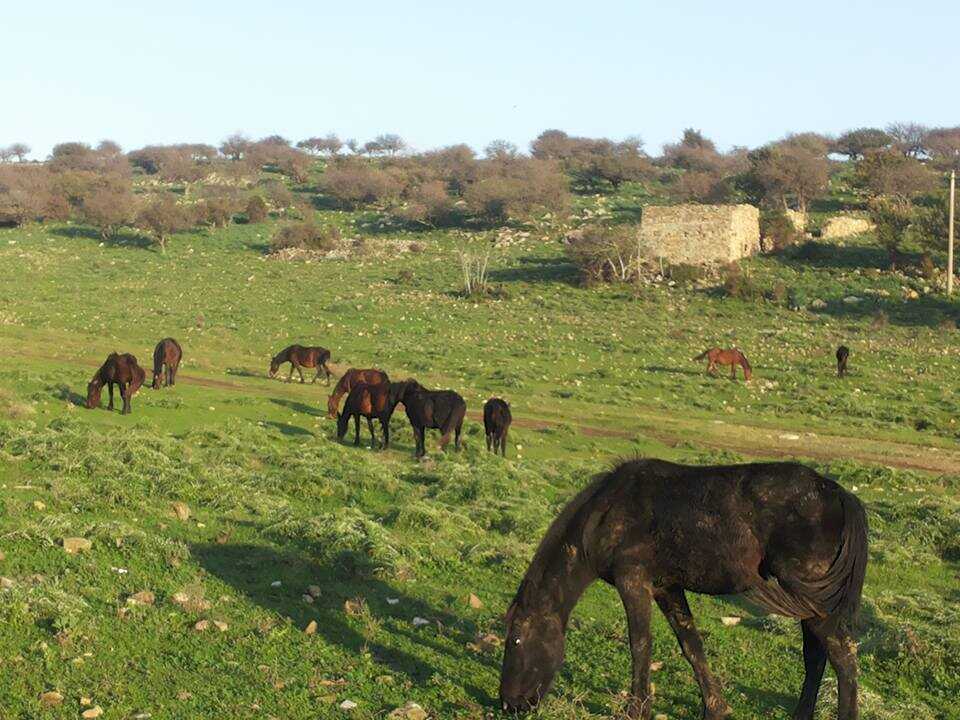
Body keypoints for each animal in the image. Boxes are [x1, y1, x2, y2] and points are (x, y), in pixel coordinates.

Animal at [500, 459, 868, 720]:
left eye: (515, 640)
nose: (508, 704)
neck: (605, 514)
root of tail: (838, 493)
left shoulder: (633, 582)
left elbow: (640, 646)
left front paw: (636, 711)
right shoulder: (667, 588)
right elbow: (691, 645)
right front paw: (715, 708)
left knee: (843, 660)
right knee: (816, 659)